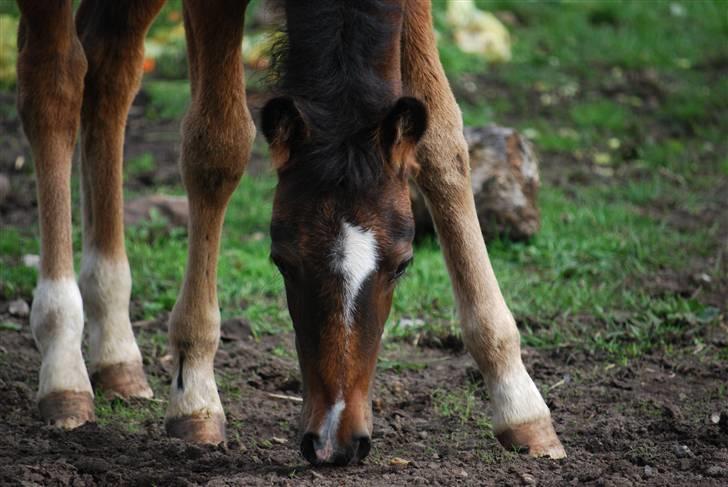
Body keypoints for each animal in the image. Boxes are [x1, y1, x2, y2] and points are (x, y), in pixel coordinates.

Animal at [15, 0, 564, 466]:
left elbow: (443, 139)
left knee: (110, 59)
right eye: (281, 260)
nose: (334, 444)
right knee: (54, 79)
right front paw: (194, 396)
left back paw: (115, 350)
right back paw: (63, 364)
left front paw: (519, 402)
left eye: (403, 264)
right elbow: (218, 143)